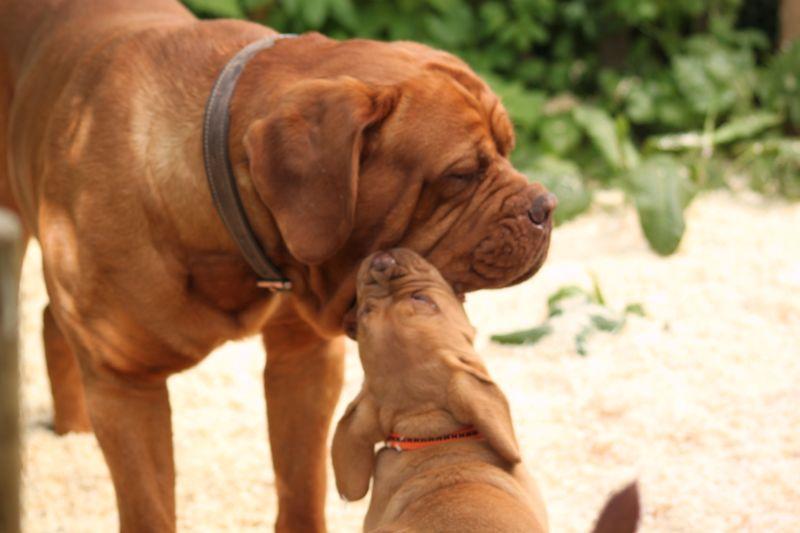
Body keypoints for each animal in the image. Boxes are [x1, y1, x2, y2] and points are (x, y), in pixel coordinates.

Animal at [0, 2, 552, 528]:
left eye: (508, 148)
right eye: (461, 174)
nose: (545, 206)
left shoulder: (303, 356)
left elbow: (301, 482)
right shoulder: (126, 385)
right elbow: (149, 509)